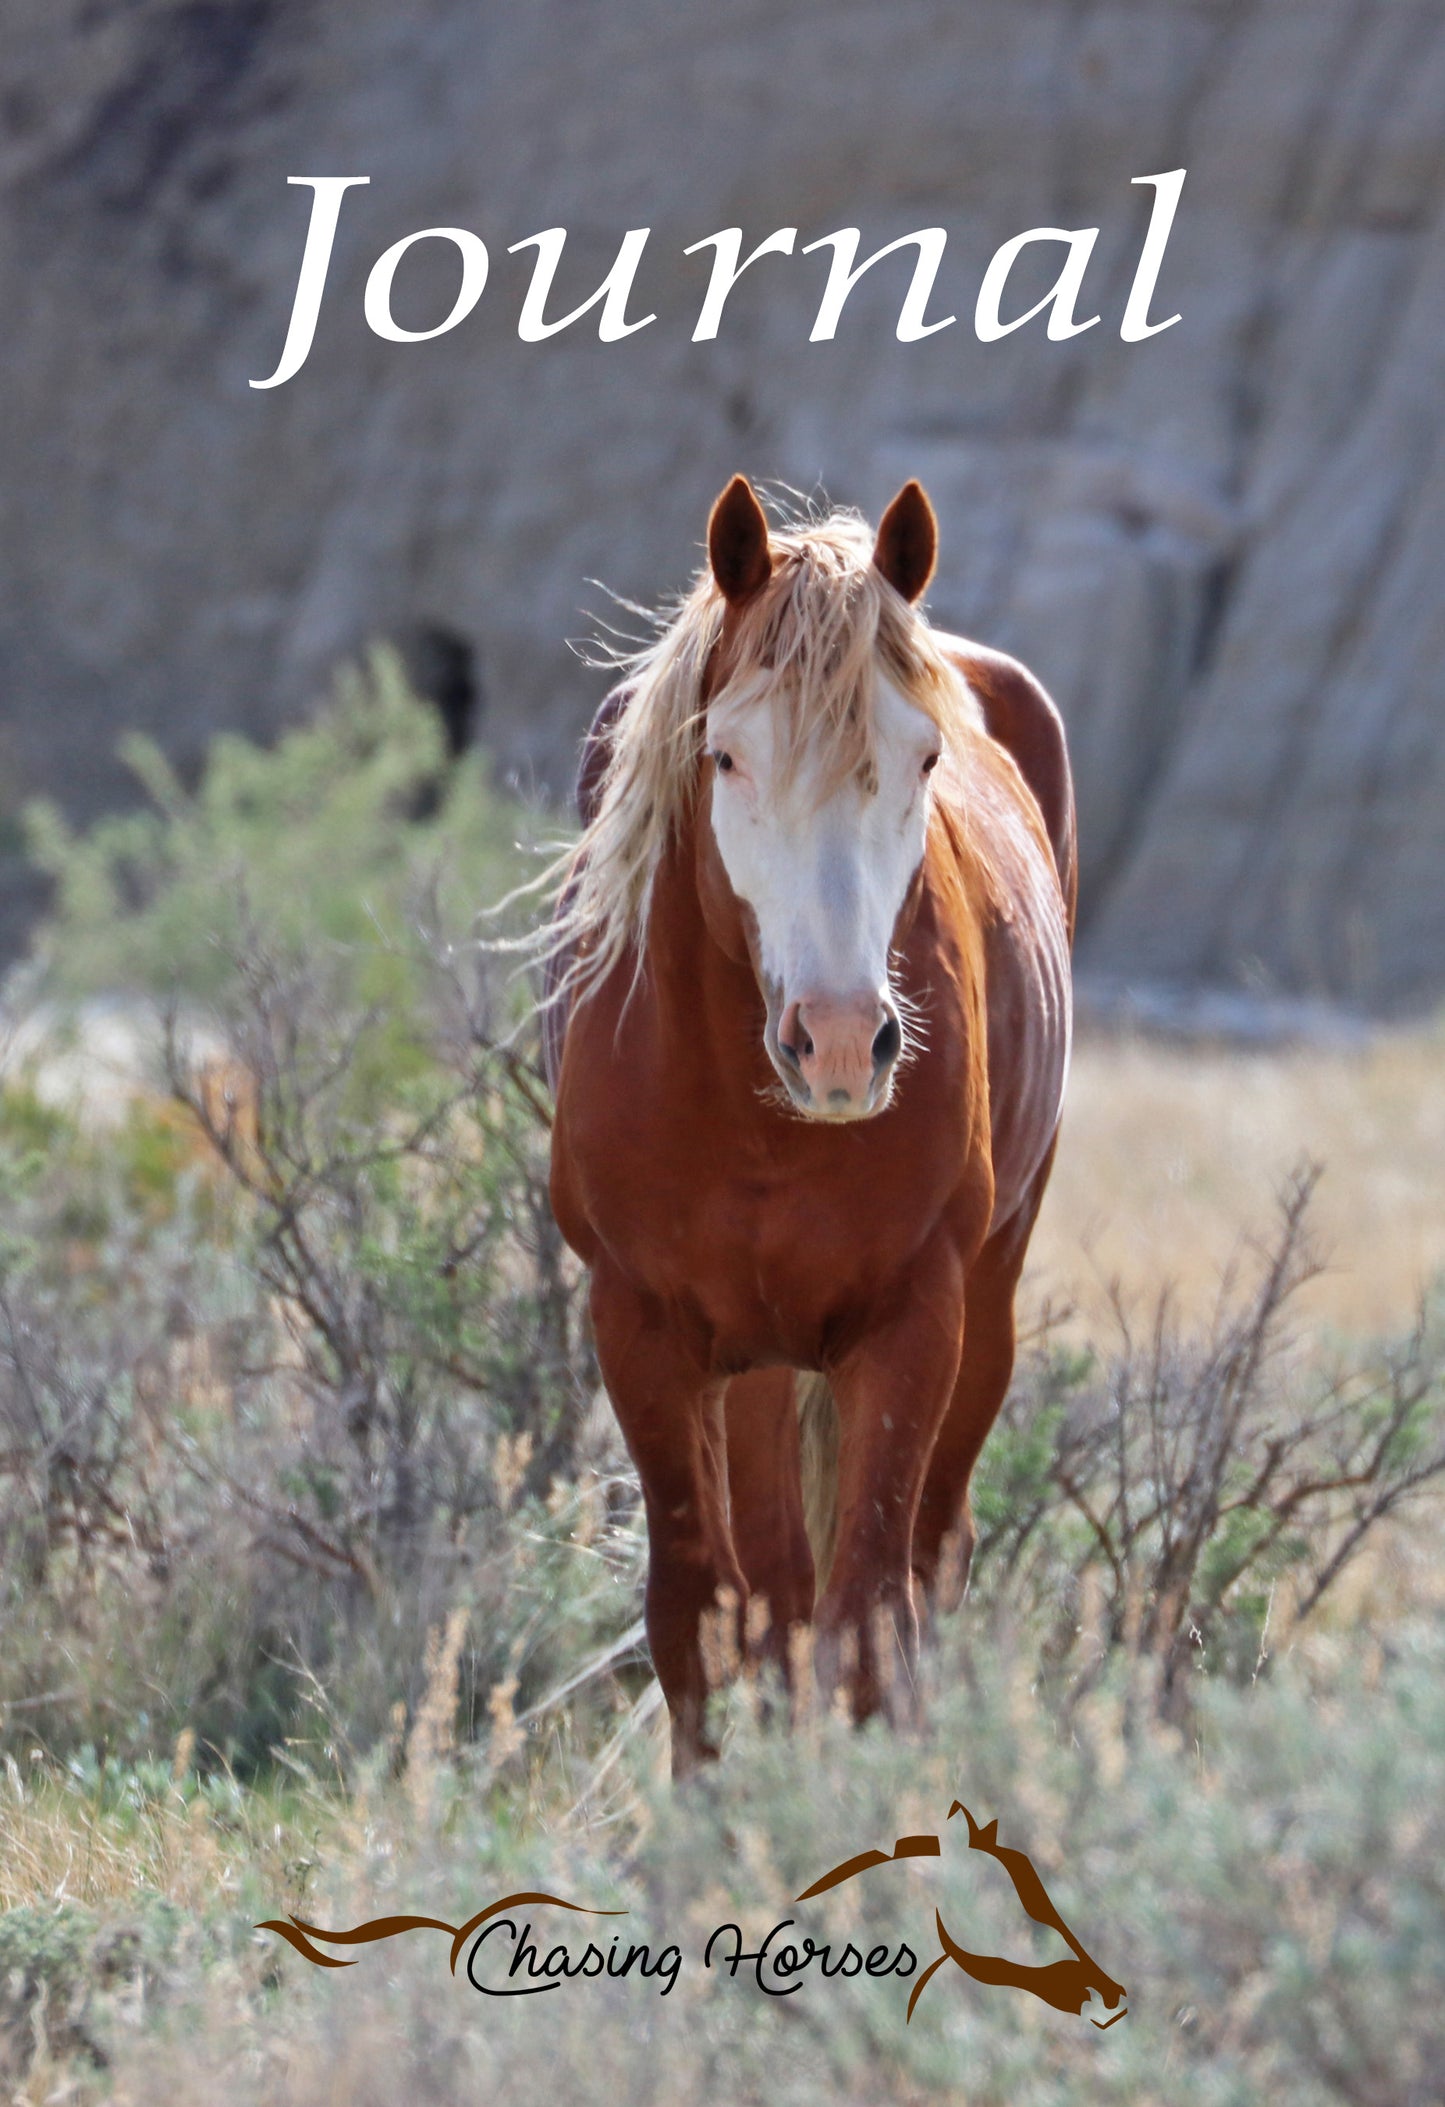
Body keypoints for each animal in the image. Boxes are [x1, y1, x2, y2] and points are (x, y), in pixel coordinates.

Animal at [541, 476, 1075, 1773]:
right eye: (725, 756)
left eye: (923, 755)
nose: (837, 1043)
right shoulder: (640, 1327)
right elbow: (695, 1614)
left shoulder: (911, 1321)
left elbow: (867, 1619)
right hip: (757, 1359)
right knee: (771, 1594)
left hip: (981, 1302)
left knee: (923, 1561)